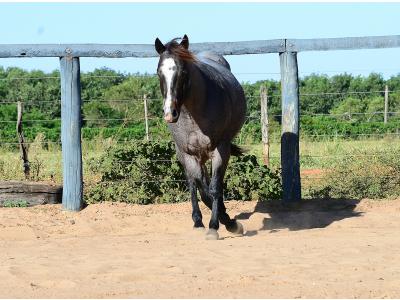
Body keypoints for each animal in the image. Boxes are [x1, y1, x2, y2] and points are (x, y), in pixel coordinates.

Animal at [154, 35, 245, 240]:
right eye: (159, 72)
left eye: (183, 72)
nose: (170, 113)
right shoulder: (187, 154)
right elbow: (202, 190)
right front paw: (217, 221)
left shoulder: (220, 150)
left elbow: (214, 188)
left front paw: (218, 225)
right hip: (191, 156)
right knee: (193, 183)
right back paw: (200, 221)